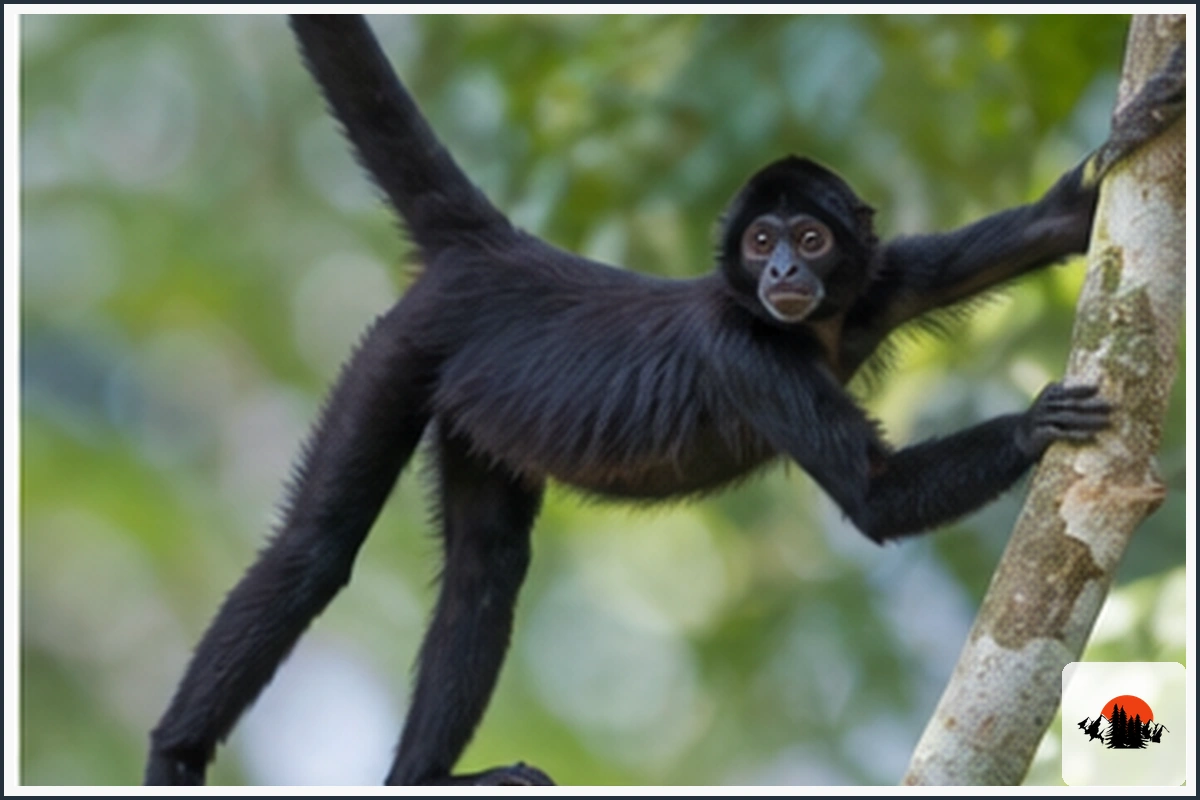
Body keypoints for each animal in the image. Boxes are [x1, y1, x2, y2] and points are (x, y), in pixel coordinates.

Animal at [144, 15, 1184, 786]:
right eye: (762, 240)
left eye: (810, 238)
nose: (782, 273)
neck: (803, 328)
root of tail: (499, 250)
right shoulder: (746, 350)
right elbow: (876, 500)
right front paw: (1035, 422)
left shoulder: (877, 283)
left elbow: (1060, 224)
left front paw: (1141, 122)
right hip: (404, 348)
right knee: (315, 550)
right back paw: (177, 754)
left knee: (486, 566)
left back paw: (422, 780)